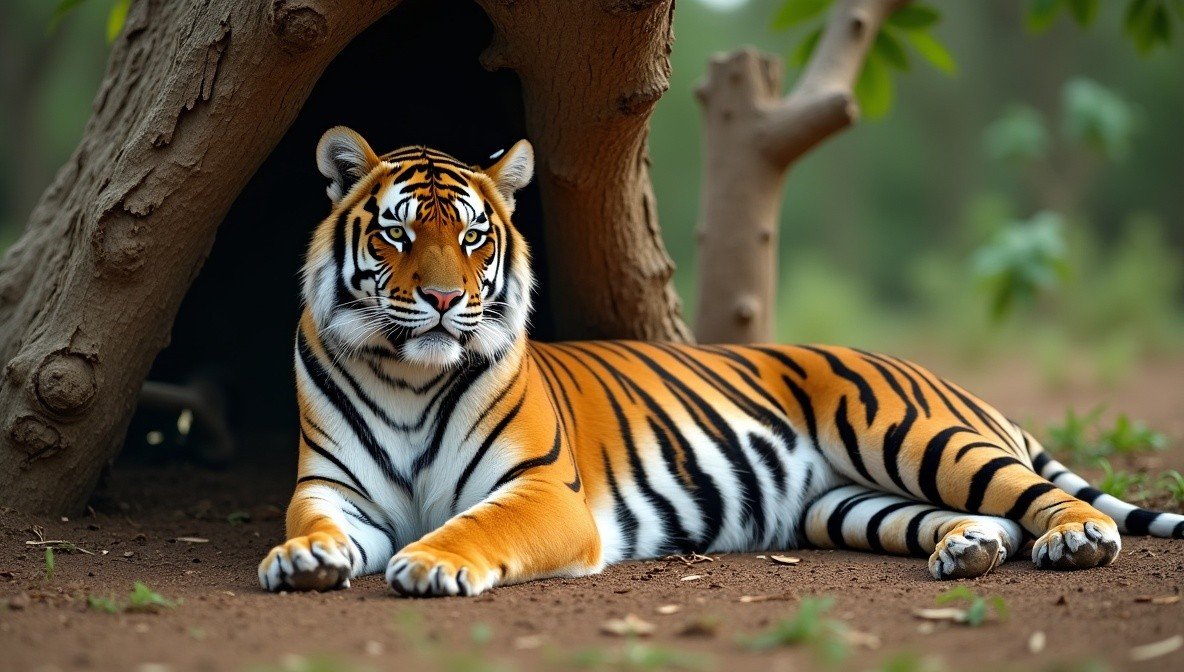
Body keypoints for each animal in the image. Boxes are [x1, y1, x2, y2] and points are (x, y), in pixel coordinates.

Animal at [258, 127, 1184, 596]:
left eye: (475, 237)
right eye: (397, 234)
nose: (448, 298)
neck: (408, 375)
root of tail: (951, 382)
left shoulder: (544, 494)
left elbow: (476, 525)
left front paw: (430, 561)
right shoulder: (333, 491)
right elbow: (310, 526)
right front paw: (303, 561)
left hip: (917, 438)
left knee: (1037, 499)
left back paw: (1078, 541)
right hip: (847, 503)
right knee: (985, 520)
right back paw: (969, 551)